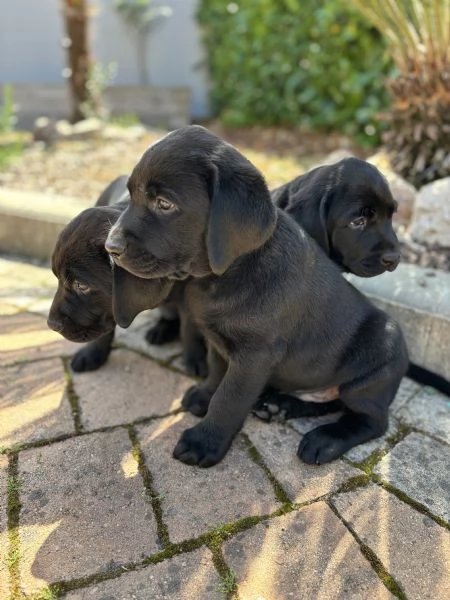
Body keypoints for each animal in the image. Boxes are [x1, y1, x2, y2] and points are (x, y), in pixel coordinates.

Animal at [104, 124, 408, 466]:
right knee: (330, 402)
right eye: (131, 195)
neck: (224, 275)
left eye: (164, 204)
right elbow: (217, 372)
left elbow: (229, 397)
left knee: (370, 420)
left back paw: (325, 439)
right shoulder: (217, 339)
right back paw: (282, 406)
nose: (110, 247)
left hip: (378, 356)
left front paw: (204, 441)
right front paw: (203, 395)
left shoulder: (255, 354)